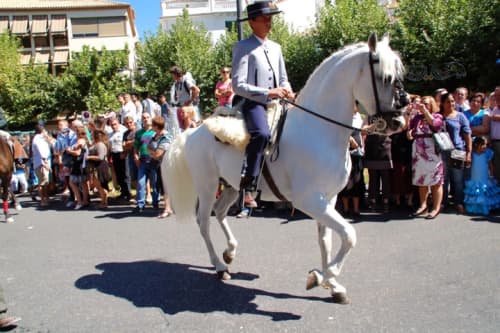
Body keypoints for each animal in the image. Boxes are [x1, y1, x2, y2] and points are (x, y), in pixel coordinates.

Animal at [163, 34, 406, 304]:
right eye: (385, 77)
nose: (399, 121)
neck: (319, 130)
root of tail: (194, 131)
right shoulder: (309, 200)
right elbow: (349, 234)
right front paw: (320, 277)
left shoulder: (329, 199)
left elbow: (327, 240)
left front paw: (333, 286)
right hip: (207, 186)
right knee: (204, 221)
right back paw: (219, 266)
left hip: (233, 186)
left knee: (220, 211)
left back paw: (230, 253)